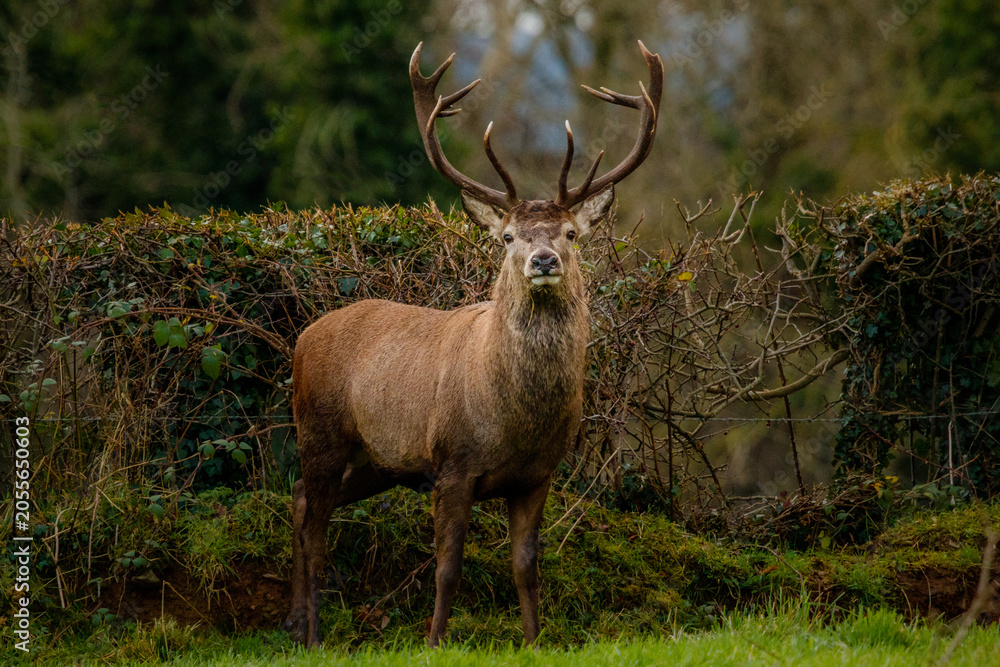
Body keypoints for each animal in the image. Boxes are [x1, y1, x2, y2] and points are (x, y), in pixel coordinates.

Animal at [284, 40, 662, 648]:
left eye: (571, 233)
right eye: (507, 237)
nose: (543, 260)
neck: (514, 420)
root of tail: (303, 338)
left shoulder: (538, 475)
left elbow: (526, 566)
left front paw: (534, 642)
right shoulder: (453, 463)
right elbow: (447, 568)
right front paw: (434, 642)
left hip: (376, 459)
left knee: (298, 500)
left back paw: (295, 624)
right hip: (320, 429)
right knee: (315, 527)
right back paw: (314, 634)